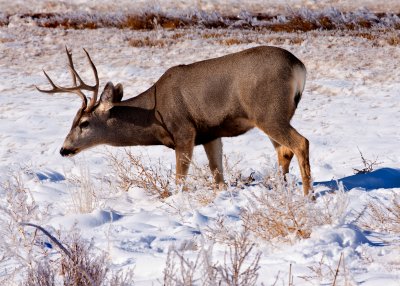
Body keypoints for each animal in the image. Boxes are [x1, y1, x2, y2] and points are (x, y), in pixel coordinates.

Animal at [36, 45, 312, 196]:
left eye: (83, 123)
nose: (64, 149)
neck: (155, 115)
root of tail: (298, 66)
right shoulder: (211, 134)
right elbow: (218, 176)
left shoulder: (184, 131)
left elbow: (180, 179)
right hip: (274, 115)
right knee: (284, 151)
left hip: (268, 112)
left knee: (300, 143)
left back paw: (307, 196)